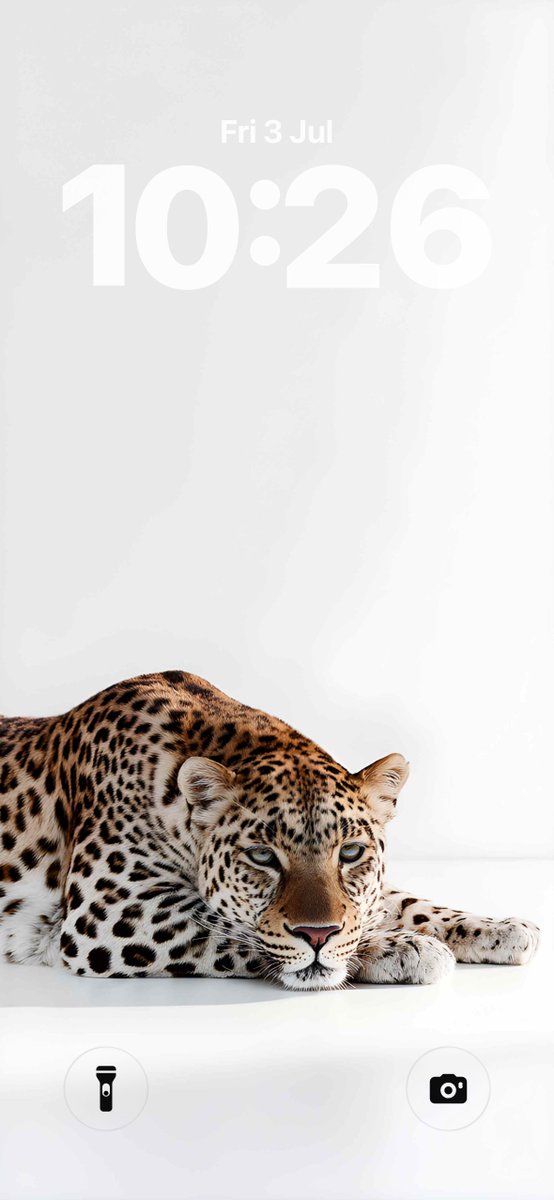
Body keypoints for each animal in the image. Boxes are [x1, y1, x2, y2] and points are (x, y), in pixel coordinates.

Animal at [0, 671, 539, 990]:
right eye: (262, 856)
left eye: (350, 853)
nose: (318, 933)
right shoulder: (111, 911)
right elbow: (234, 926)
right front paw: (404, 947)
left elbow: (404, 902)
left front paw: (502, 928)